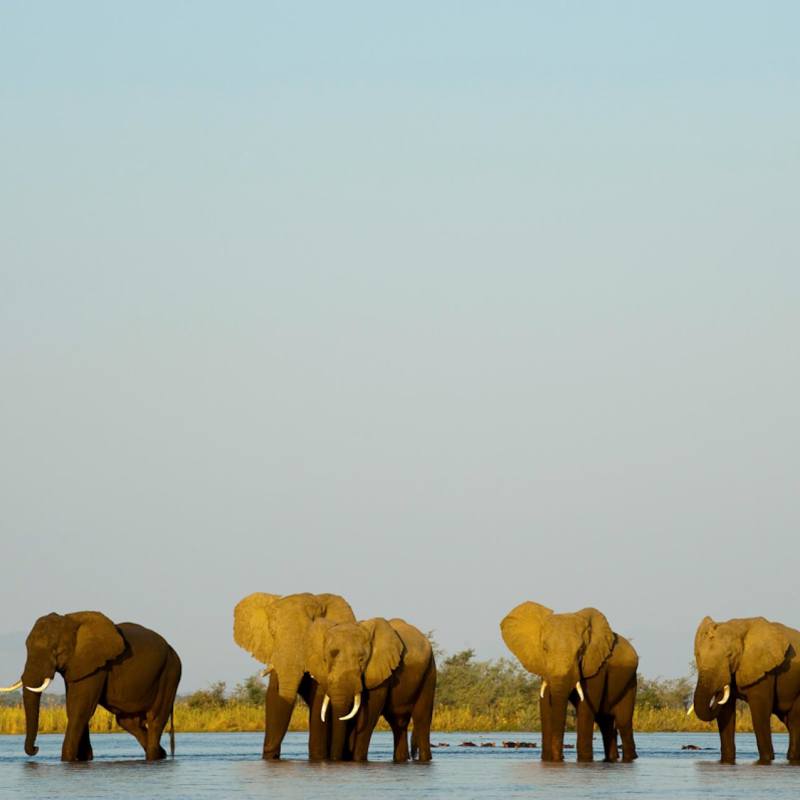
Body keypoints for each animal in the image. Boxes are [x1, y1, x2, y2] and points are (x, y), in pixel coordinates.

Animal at [0, 611, 181, 761]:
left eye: (56, 651)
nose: (36, 748)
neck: (70, 621)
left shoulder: (96, 666)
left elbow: (80, 708)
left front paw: (68, 759)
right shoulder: (76, 666)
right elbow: (74, 708)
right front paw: (84, 759)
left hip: (170, 672)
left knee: (155, 718)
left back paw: (154, 756)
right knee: (127, 721)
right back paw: (161, 754)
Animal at [233, 591, 356, 760]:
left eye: (309, 634)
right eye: (272, 632)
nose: (271, 754)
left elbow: (318, 699)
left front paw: (318, 758)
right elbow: (273, 695)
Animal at [306, 616, 436, 762]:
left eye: (361, 659)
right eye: (325, 659)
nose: (335, 759)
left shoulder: (379, 672)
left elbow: (369, 714)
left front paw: (358, 760)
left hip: (429, 671)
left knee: (421, 719)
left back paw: (425, 759)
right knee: (398, 723)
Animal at [501, 601, 638, 762]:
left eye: (581, 650)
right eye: (544, 648)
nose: (560, 758)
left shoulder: (596, 666)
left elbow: (585, 708)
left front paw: (584, 761)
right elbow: (546, 706)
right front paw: (547, 760)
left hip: (630, 681)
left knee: (623, 721)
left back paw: (630, 758)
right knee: (605, 721)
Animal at [691, 616, 800, 764]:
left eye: (730, 655)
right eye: (697, 655)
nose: (727, 680)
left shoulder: (764, 671)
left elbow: (760, 713)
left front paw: (766, 759)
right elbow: (726, 713)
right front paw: (727, 761)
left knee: (794, 721)